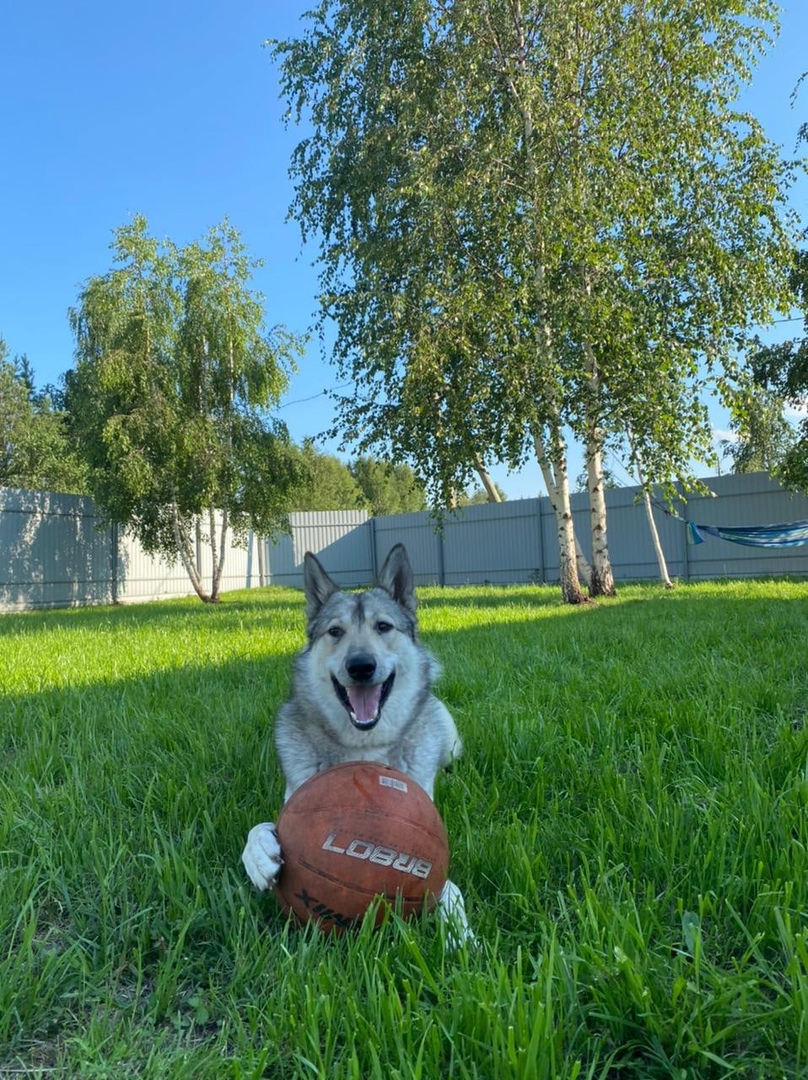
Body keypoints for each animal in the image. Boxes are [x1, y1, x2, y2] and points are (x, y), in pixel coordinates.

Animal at [239, 544, 470, 941]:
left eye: (383, 626)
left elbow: (447, 884)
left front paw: (461, 933)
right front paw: (258, 855)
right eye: (335, 631)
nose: (361, 665)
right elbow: (257, 828)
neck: (364, 746)